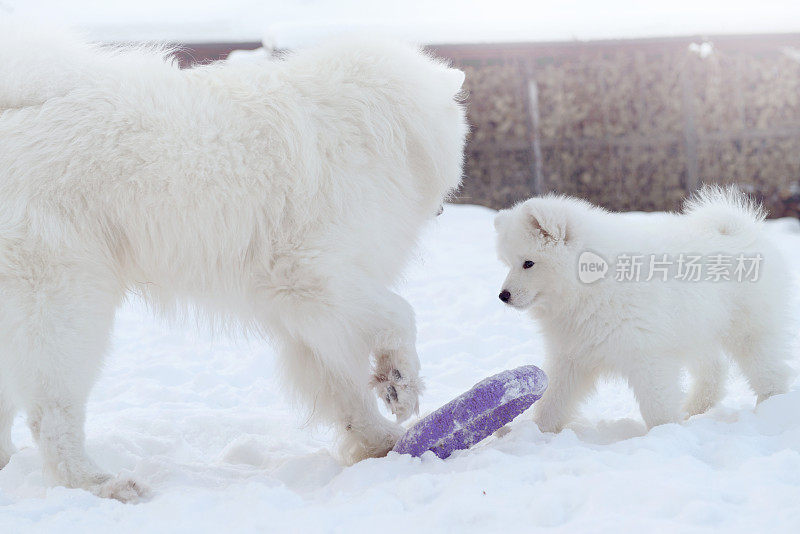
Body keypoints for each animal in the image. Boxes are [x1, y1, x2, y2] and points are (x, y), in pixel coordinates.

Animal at [0, 25, 468, 502]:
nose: (442, 211)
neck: (373, 126)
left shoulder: (310, 311)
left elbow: (344, 386)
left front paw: (378, 442)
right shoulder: (309, 275)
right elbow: (399, 315)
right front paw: (401, 384)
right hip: (65, 305)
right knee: (52, 413)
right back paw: (102, 484)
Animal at [494, 187, 792, 436]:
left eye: (528, 263)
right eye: (507, 263)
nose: (503, 296)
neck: (591, 283)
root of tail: (738, 229)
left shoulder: (647, 354)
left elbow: (656, 404)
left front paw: (665, 433)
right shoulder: (572, 354)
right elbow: (553, 399)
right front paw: (536, 432)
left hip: (747, 331)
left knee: (768, 370)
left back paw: (772, 407)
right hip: (696, 329)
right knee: (714, 370)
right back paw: (695, 408)